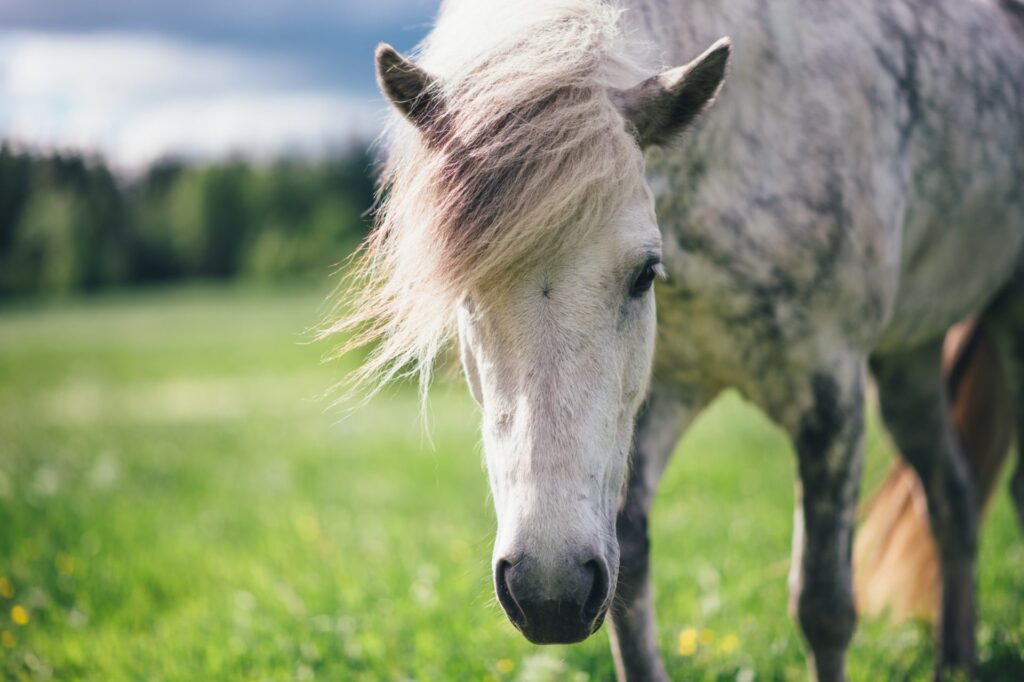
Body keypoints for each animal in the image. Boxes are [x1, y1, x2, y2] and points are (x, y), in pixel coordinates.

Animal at [329, 0, 1024, 675]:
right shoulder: (659, 397)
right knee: (953, 497)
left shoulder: (830, 392)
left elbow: (824, 605)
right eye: (464, 291)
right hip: (908, 362)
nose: (548, 591)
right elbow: (631, 577)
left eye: (644, 273)